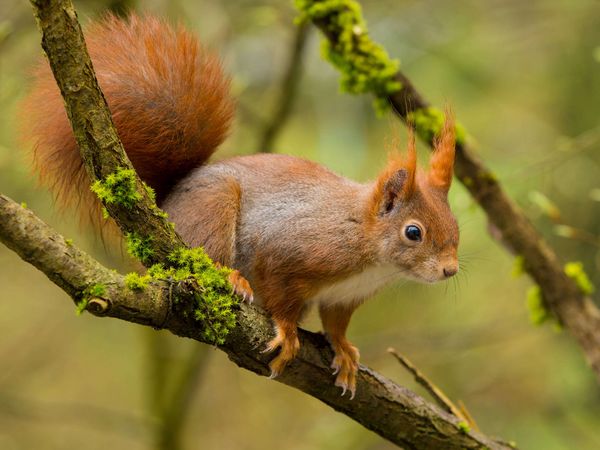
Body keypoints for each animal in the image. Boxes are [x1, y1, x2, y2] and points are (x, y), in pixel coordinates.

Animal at [18, 14, 460, 400]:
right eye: (413, 232)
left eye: (455, 227)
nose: (450, 270)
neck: (367, 245)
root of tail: (167, 202)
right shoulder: (292, 248)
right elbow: (280, 292)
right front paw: (288, 331)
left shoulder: (343, 297)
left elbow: (336, 324)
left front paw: (345, 351)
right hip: (213, 210)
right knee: (206, 256)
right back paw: (232, 278)